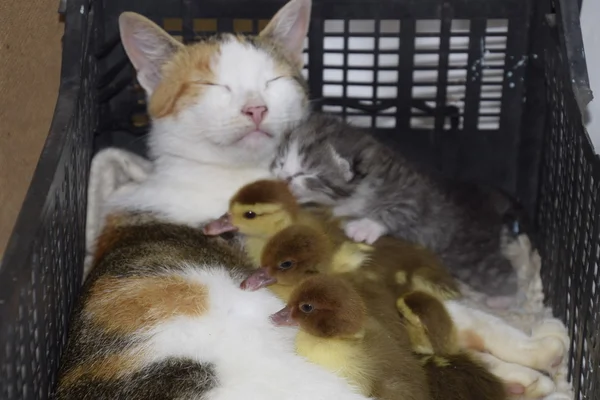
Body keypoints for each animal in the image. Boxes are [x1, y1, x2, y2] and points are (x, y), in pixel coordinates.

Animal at [272, 112, 524, 296]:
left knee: (501, 278)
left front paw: (364, 226)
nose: (283, 178)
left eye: (305, 173)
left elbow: (400, 210)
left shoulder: (413, 194)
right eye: (281, 162)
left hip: (468, 253)